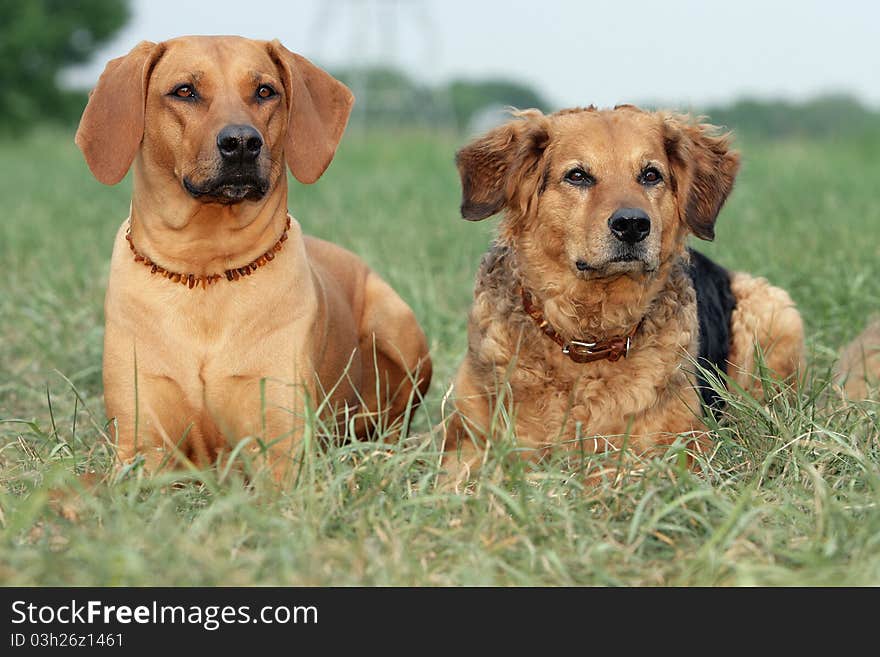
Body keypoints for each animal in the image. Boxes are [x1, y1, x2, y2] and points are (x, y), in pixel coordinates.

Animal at [75, 36, 434, 480]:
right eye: (184, 91)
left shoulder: (282, 450)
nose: (242, 143)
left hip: (396, 325)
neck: (205, 270)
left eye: (265, 91)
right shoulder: (140, 450)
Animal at [446, 106, 804, 476]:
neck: (589, 339)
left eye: (650, 175)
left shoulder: (684, 445)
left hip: (775, 313)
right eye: (578, 176)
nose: (632, 224)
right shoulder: (465, 440)